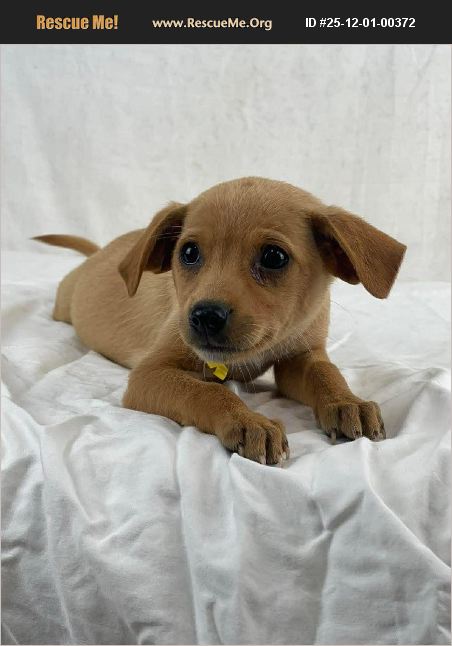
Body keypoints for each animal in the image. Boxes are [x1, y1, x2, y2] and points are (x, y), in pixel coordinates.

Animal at [34, 177, 406, 465]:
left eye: (274, 257)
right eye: (188, 253)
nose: (205, 316)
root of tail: (97, 253)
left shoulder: (301, 356)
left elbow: (326, 374)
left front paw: (347, 403)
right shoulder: (150, 373)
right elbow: (206, 392)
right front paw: (247, 420)